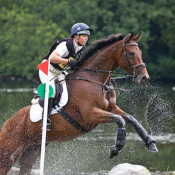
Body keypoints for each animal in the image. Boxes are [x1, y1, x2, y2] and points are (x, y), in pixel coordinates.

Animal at [0, 33, 157, 175]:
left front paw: (150, 143)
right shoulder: (90, 115)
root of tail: (7, 123)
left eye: (140, 53)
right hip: (8, 154)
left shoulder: (111, 108)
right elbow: (120, 120)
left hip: (32, 151)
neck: (96, 79)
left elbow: (130, 118)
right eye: (131, 53)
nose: (144, 78)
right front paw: (116, 148)